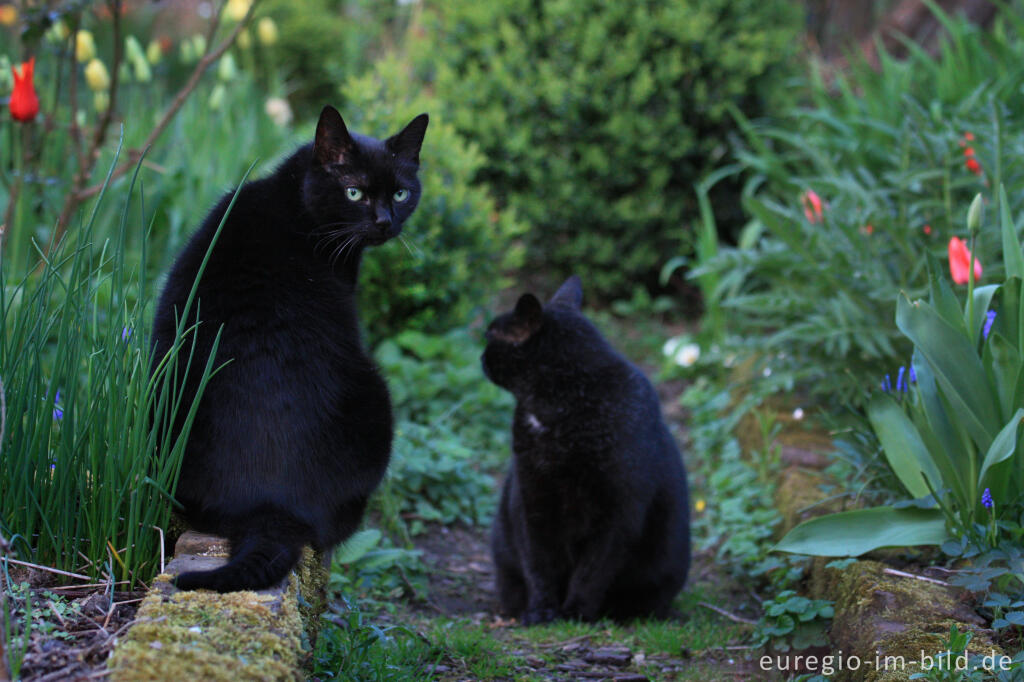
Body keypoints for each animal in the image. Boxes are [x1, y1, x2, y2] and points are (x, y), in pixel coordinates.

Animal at [149, 104, 425, 589]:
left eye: (401, 193)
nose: (384, 222)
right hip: (380, 398)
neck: (296, 201)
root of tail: (271, 508)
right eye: (354, 192)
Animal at [483, 274, 692, 622]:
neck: (557, 407)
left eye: (491, 337)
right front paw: (541, 611)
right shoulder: (531, 497)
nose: (481, 357)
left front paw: (576, 612)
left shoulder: (620, 511)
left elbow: (593, 571)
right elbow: (538, 564)